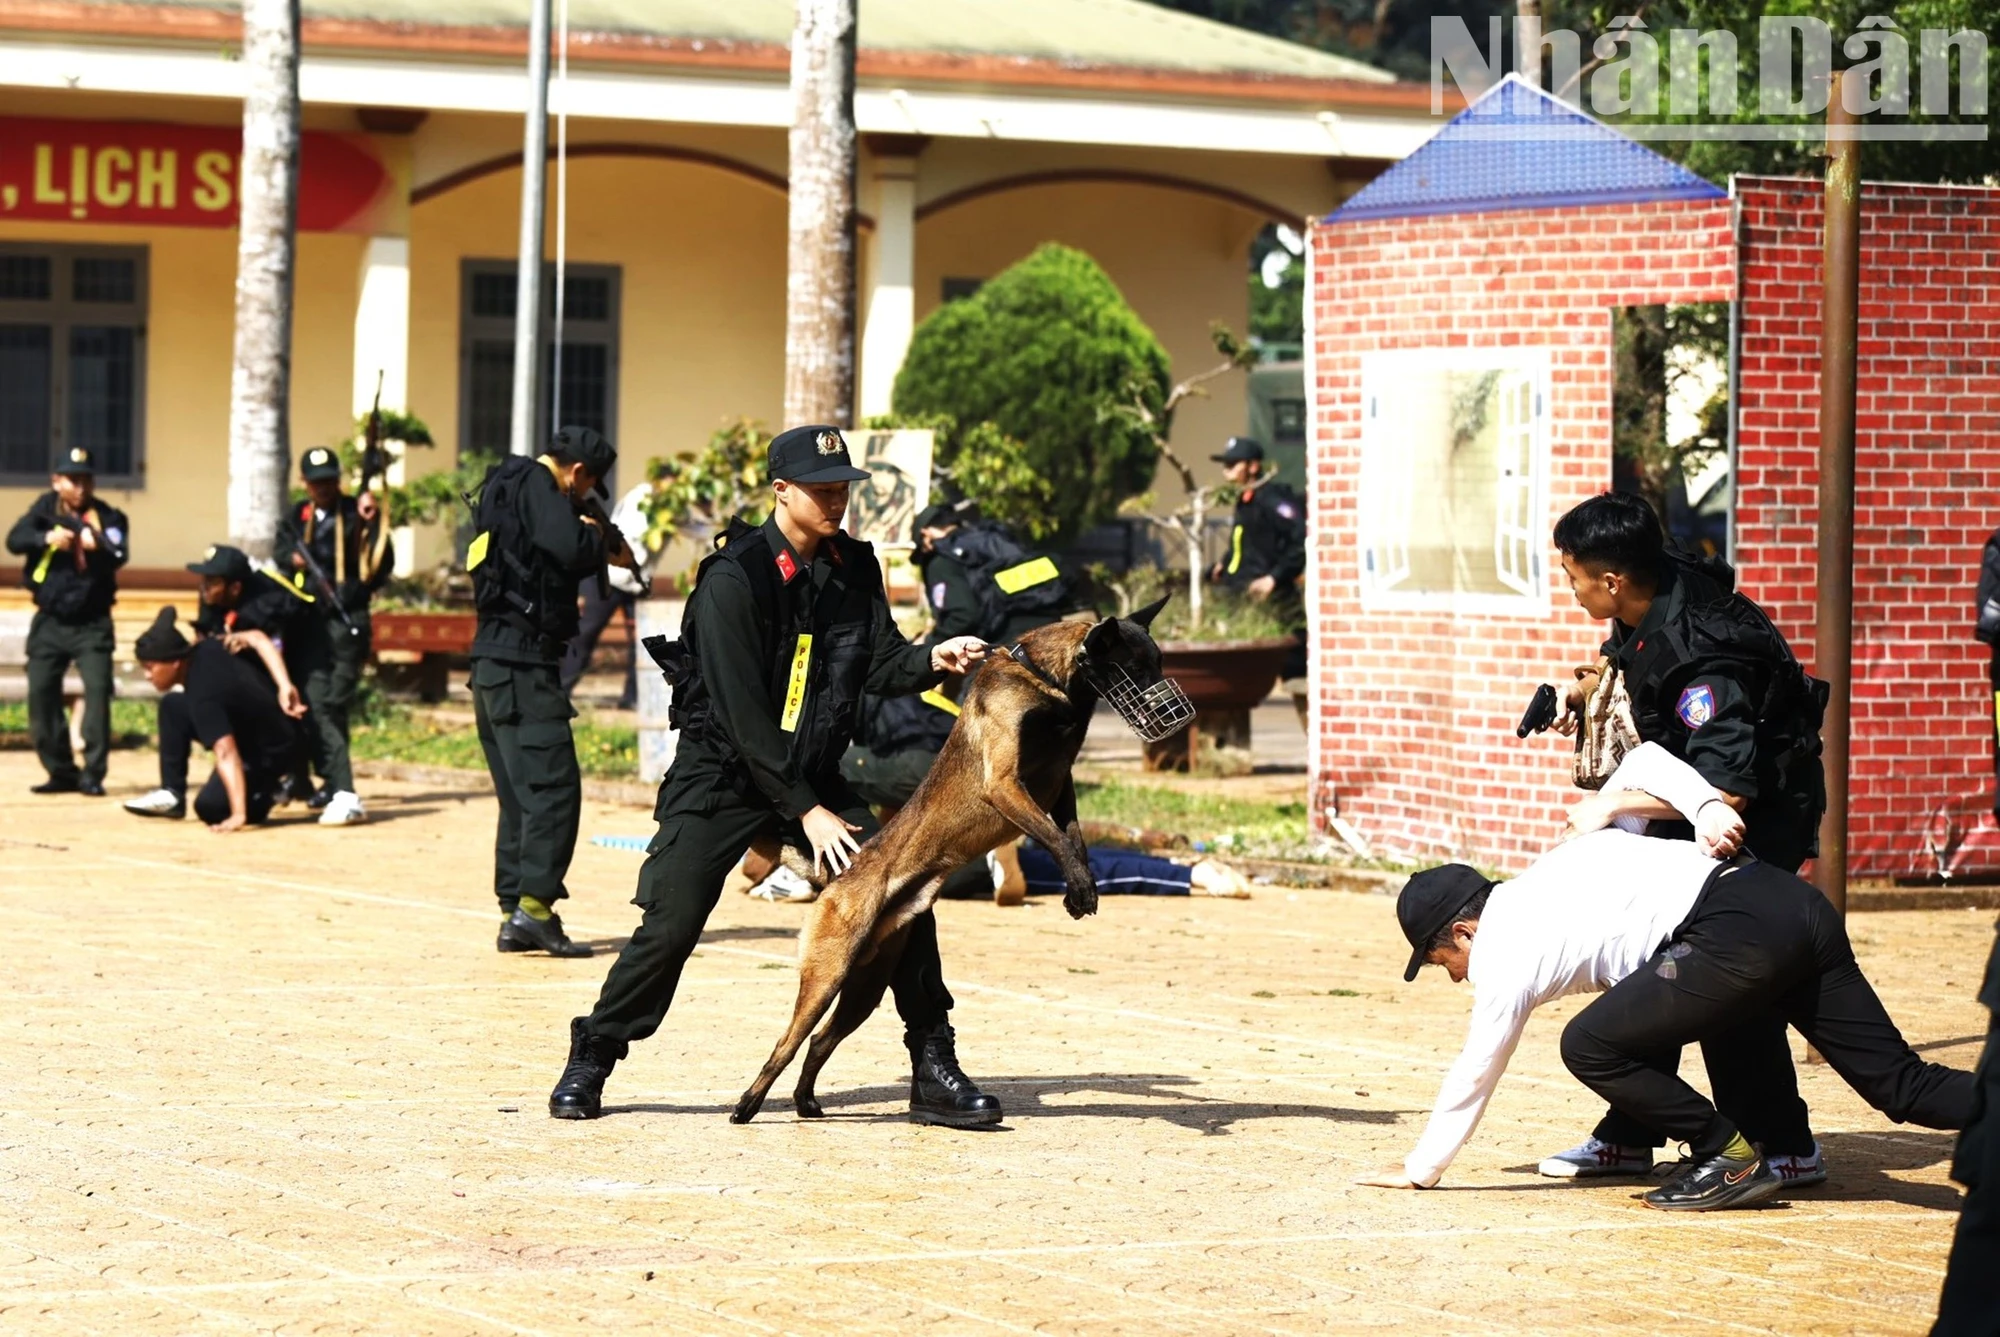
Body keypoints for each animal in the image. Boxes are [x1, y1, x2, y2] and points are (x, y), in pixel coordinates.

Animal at [732, 588, 1184, 1120]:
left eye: (1158, 664)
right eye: (1134, 668)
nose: (1174, 712)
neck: (1043, 678)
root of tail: (838, 879)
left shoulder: (1060, 785)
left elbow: (1073, 836)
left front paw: (1080, 886)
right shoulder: (1006, 785)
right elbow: (1054, 837)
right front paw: (1079, 884)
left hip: (866, 985)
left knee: (821, 1041)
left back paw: (805, 1101)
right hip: (827, 976)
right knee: (787, 1043)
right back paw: (747, 1105)